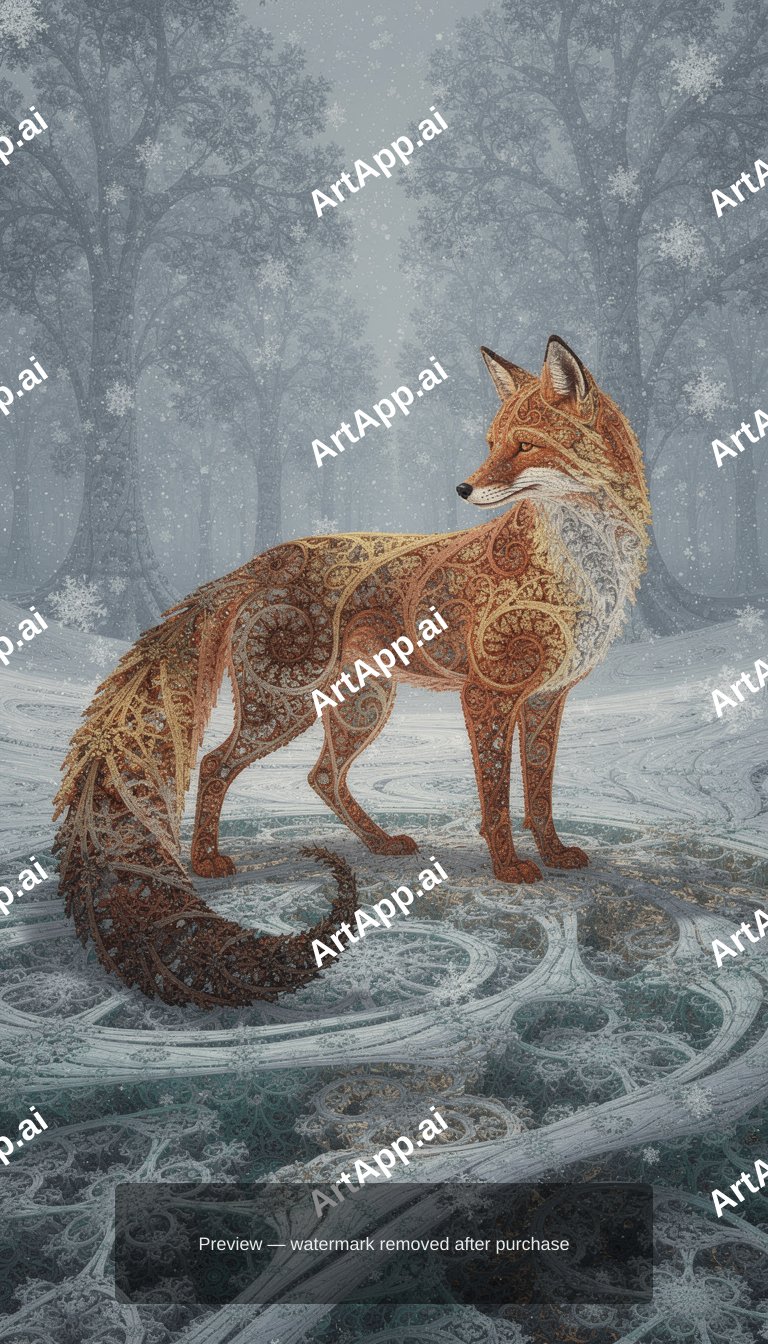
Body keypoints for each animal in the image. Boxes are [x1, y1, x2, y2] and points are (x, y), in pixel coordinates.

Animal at [54, 336, 650, 1008]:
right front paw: (508, 867)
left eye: (523, 446)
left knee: (322, 777)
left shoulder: (548, 699)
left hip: (362, 705)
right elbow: (497, 797)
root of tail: (268, 558)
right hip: (288, 708)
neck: (584, 565)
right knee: (216, 763)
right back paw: (206, 860)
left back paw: (379, 844)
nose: (464, 487)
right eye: (492, 441)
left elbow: (540, 793)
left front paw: (551, 852)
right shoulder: (487, 696)